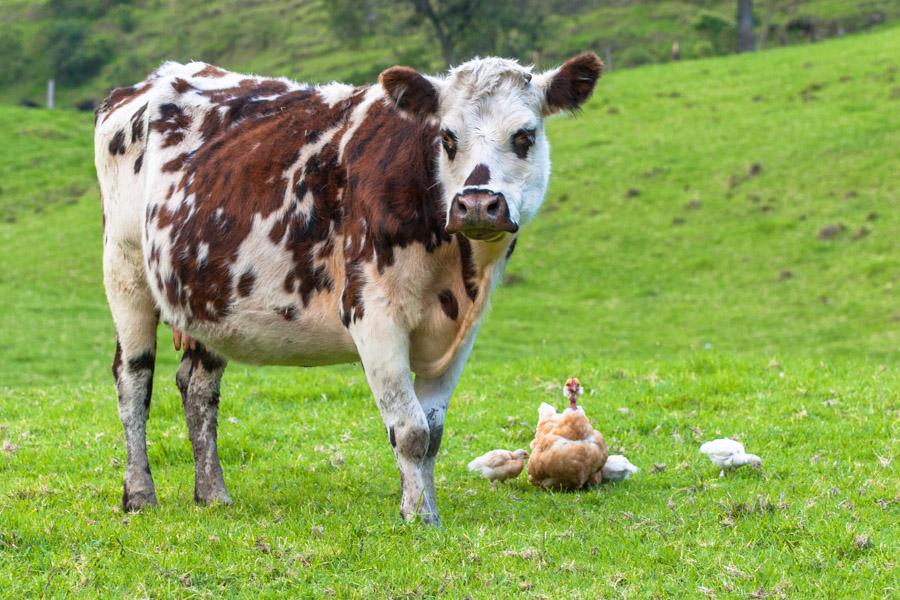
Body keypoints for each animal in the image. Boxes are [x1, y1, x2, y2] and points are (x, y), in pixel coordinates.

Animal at [95, 52, 600, 524]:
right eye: (447, 137)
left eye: (524, 136)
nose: (477, 204)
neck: (455, 272)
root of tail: (151, 80)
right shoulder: (372, 314)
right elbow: (411, 430)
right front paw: (419, 516)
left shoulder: (463, 333)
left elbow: (433, 432)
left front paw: (423, 505)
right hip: (124, 270)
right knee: (133, 382)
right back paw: (139, 494)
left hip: (207, 294)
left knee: (198, 388)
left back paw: (213, 493)